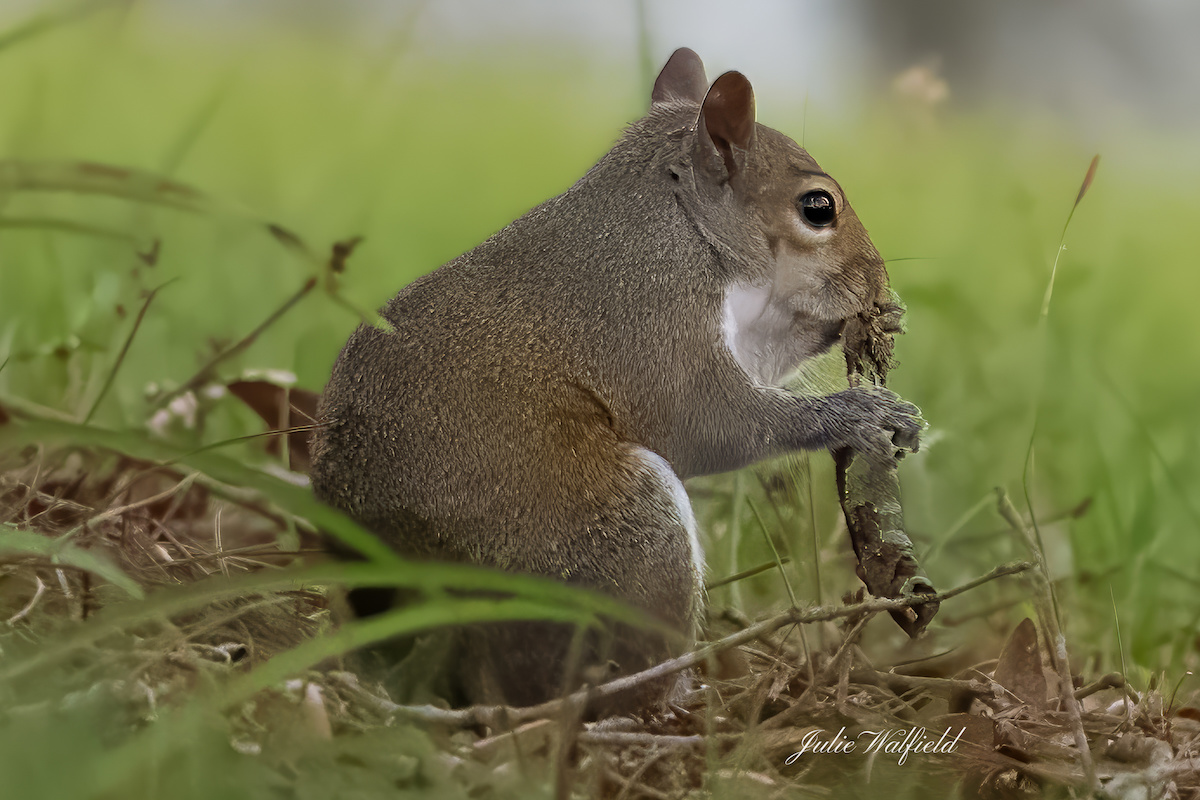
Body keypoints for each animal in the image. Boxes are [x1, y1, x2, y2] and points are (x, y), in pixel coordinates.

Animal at [310, 48, 922, 715]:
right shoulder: (649, 312)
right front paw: (860, 411)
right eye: (818, 207)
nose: (876, 281)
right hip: (616, 535)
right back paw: (678, 698)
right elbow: (711, 422)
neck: (678, 220)